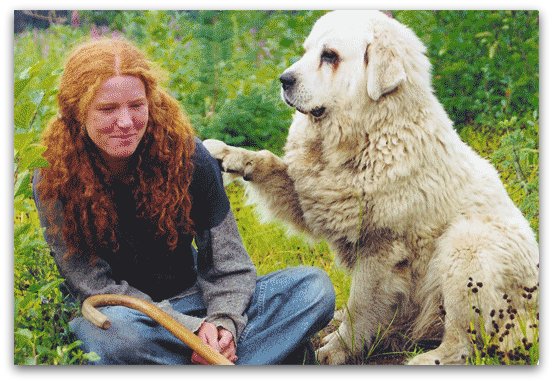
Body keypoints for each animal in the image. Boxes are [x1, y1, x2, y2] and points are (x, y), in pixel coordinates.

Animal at [203, 9, 536, 366]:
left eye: (329, 56)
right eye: (307, 51)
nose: (284, 79)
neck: (368, 136)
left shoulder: (381, 247)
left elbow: (361, 305)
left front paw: (336, 350)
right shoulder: (314, 195)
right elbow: (270, 164)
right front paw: (226, 154)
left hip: (468, 246)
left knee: (466, 339)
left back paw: (425, 358)